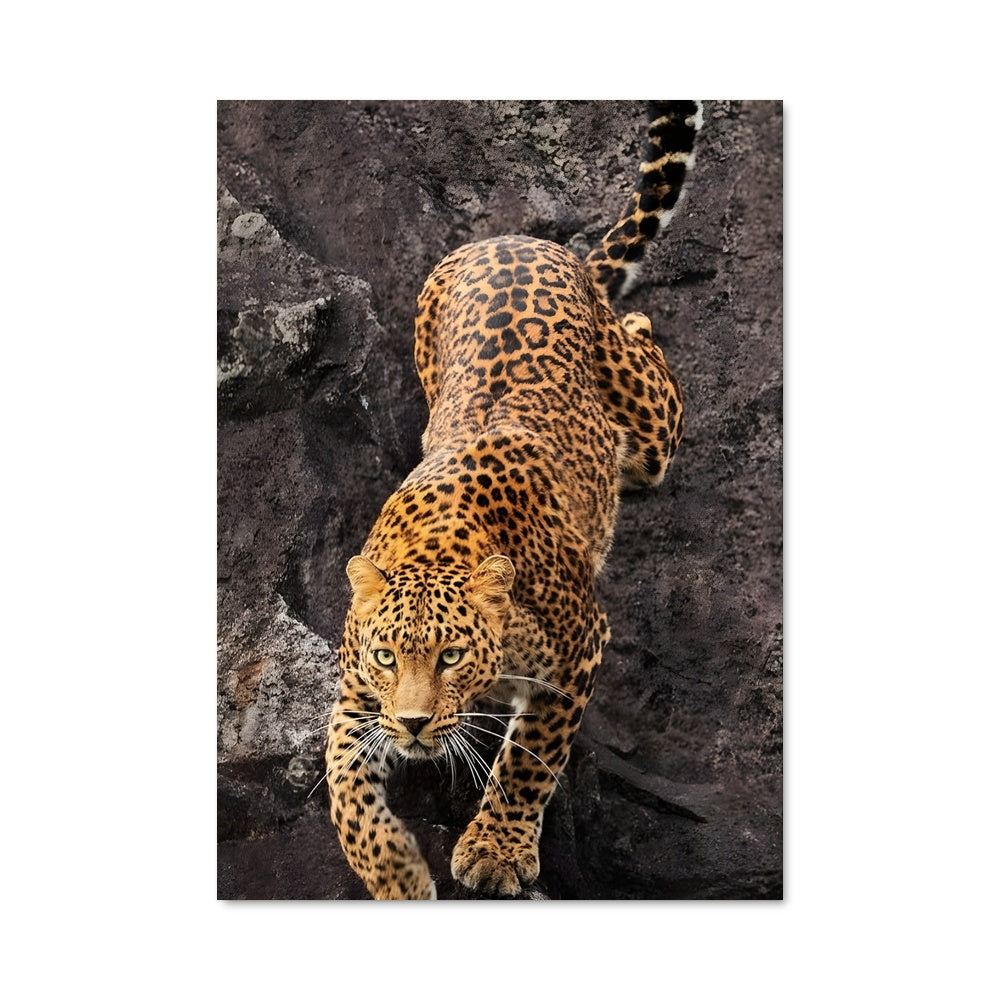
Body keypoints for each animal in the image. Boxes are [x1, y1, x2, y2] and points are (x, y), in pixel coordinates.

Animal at [325, 101, 702, 899]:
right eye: (386, 656)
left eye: (451, 655)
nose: (412, 725)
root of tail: (516, 236)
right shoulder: (356, 693)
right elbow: (346, 788)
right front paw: (397, 875)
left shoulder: (579, 647)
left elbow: (532, 755)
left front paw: (495, 850)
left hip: (650, 423)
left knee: (646, 360)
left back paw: (637, 325)